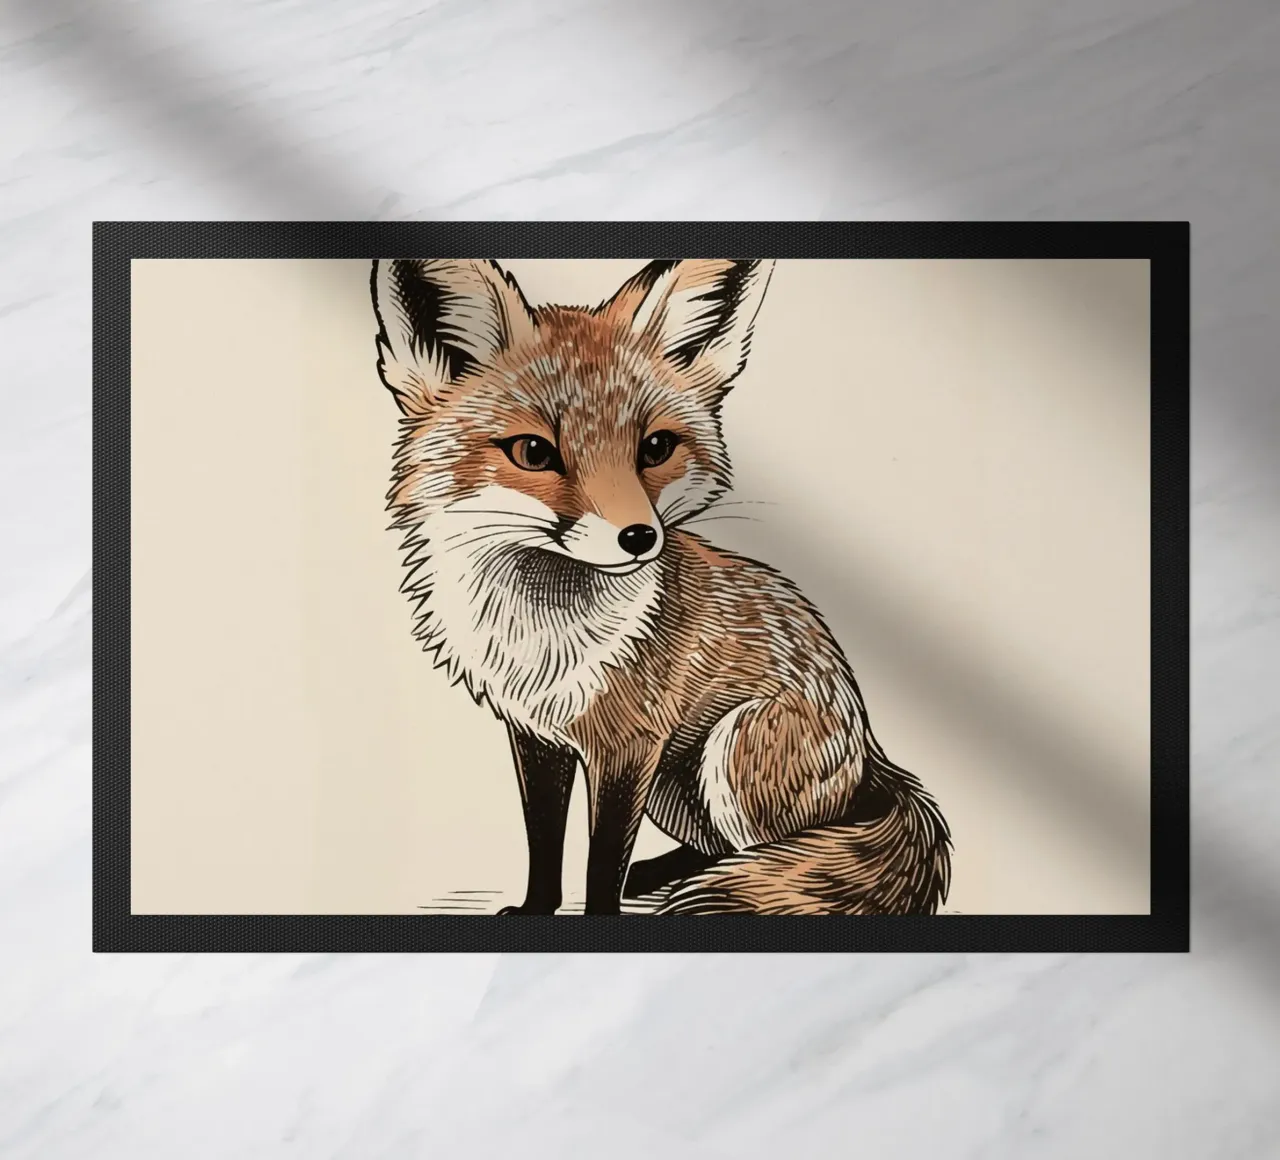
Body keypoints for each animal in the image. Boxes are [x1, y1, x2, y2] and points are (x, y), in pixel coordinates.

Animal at [369, 257, 951, 916]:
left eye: (656, 447)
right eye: (534, 452)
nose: (639, 537)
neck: (542, 636)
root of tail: (873, 755)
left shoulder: (631, 744)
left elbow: (601, 861)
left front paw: (600, 913)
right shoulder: (536, 736)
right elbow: (544, 840)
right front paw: (537, 909)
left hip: (727, 751)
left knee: (775, 853)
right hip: (675, 791)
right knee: (723, 851)